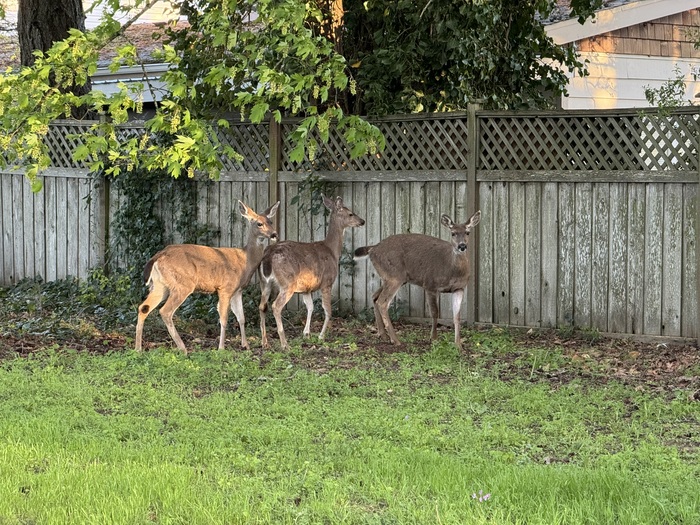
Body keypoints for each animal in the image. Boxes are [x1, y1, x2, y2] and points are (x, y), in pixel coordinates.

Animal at [134, 200, 280, 354]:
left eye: (270, 221)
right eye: (259, 223)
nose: (274, 234)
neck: (245, 260)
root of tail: (157, 257)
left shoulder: (238, 290)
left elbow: (241, 317)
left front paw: (245, 345)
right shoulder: (225, 288)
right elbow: (224, 318)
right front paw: (221, 348)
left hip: (160, 285)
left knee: (143, 307)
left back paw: (138, 348)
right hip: (182, 284)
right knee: (165, 311)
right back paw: (183, 348)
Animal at [258, 195, 365, 350]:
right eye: (351, 213)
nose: (362, 221)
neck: (332, 251)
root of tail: (268, 255)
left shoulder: (306, 289)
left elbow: (310, 307)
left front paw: (306, 333)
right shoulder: (327, 281)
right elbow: (327, 310)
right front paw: (321, 336)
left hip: (264, 282)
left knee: (262, 306)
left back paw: (264, 342)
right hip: (287, 282)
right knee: (276, 306)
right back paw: (284, 344)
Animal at [354, 210, 481, 350]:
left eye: (468, 232)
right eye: (453, 233)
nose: (462, 246)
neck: (451, 269)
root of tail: (373, 249)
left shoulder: (459, 288)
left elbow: (456, 316)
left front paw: (458, 345)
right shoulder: (430, 284)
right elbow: (435, 312)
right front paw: (433, 338)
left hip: (393, 277)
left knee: (375, 296)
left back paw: (384, 336)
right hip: (394, 276)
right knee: (382, 302)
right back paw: (396, 340)